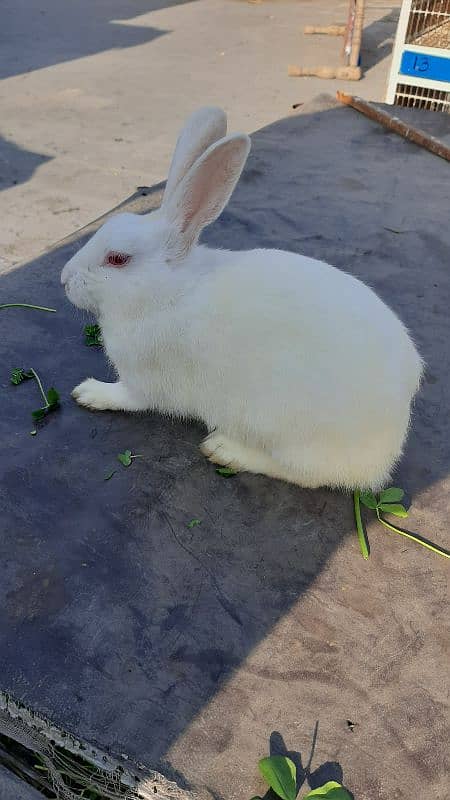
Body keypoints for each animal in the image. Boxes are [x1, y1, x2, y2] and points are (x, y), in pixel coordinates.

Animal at [61, 104, 424, 494]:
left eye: (117, 259)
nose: (64, 279)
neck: (167, 291)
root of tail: (386, 450)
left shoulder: (143, 381)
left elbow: (127, 398)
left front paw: (89, 393)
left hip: (285, 429)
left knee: (303, 475)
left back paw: (225, 450)